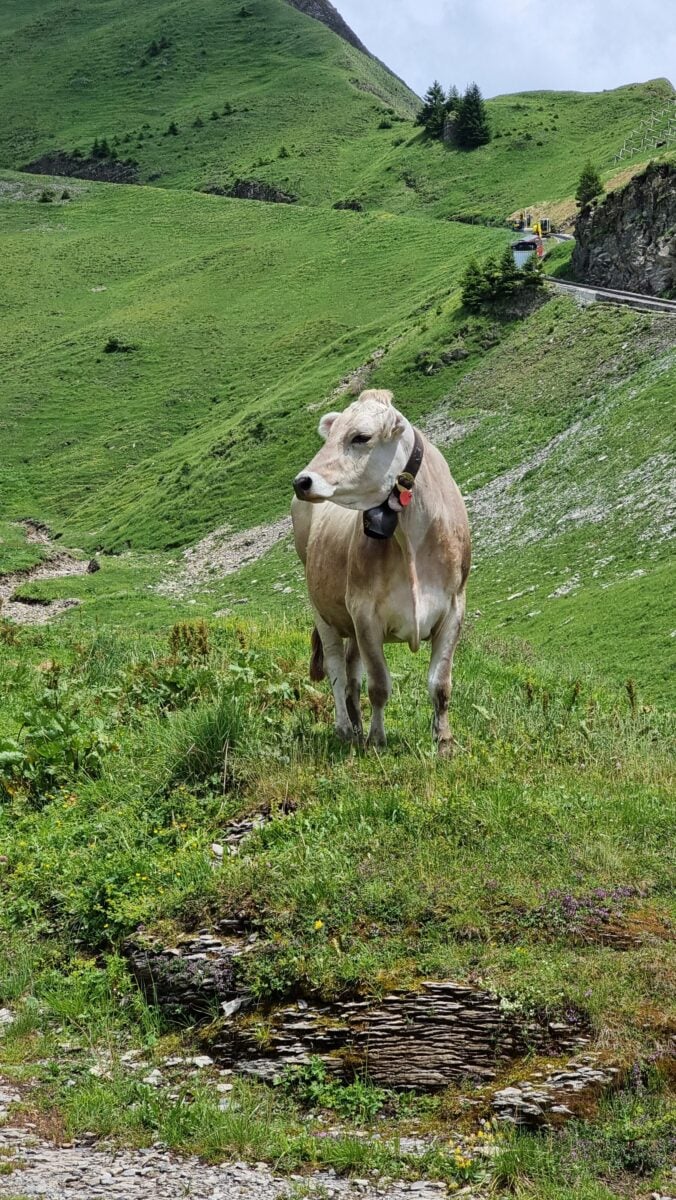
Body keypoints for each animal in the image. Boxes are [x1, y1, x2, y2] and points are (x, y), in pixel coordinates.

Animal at [291, 389, 470, 753]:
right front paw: (376, 740)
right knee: (336, 668)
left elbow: (441, 683)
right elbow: (379, 685)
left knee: (350, 670)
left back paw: (356, 724)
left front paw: (444, 740)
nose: (302, 481)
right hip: (322, 610)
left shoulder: (454, 607)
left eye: (361, 437)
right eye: (330, 435)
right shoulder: (365, 614)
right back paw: (346, 729)